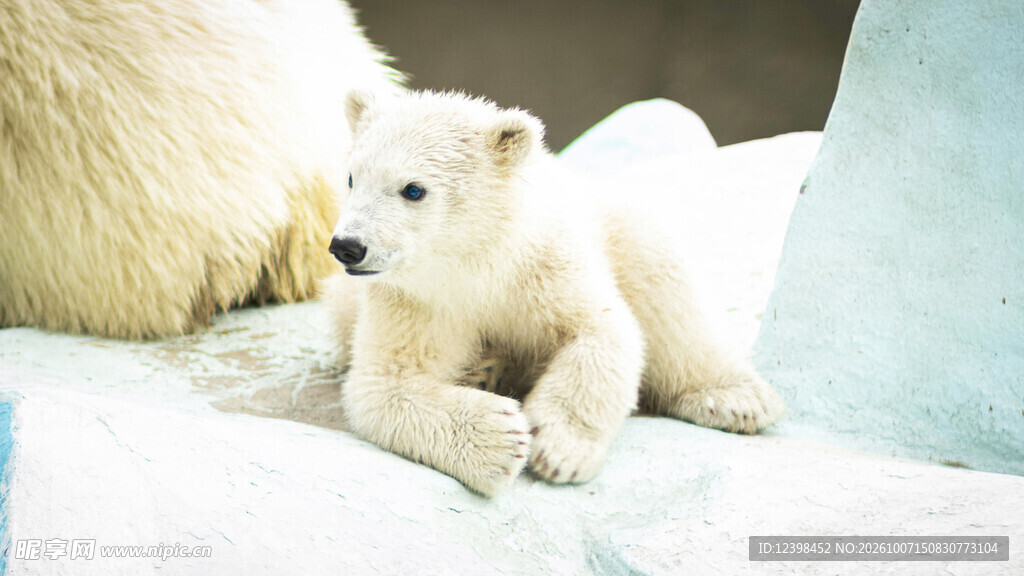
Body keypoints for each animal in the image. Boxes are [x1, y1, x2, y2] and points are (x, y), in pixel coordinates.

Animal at [326, 90, 785, 496]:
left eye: (413, 189)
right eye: (351, 178)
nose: (347, 246)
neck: (476, 265)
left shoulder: (545, 264)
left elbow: (602, 331)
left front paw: (558, 450)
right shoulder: (414, 302)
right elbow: (385, 384)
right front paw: (502, 440)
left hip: (620, 227)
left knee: (665, 289)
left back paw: (734, 398)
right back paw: (484, 370)